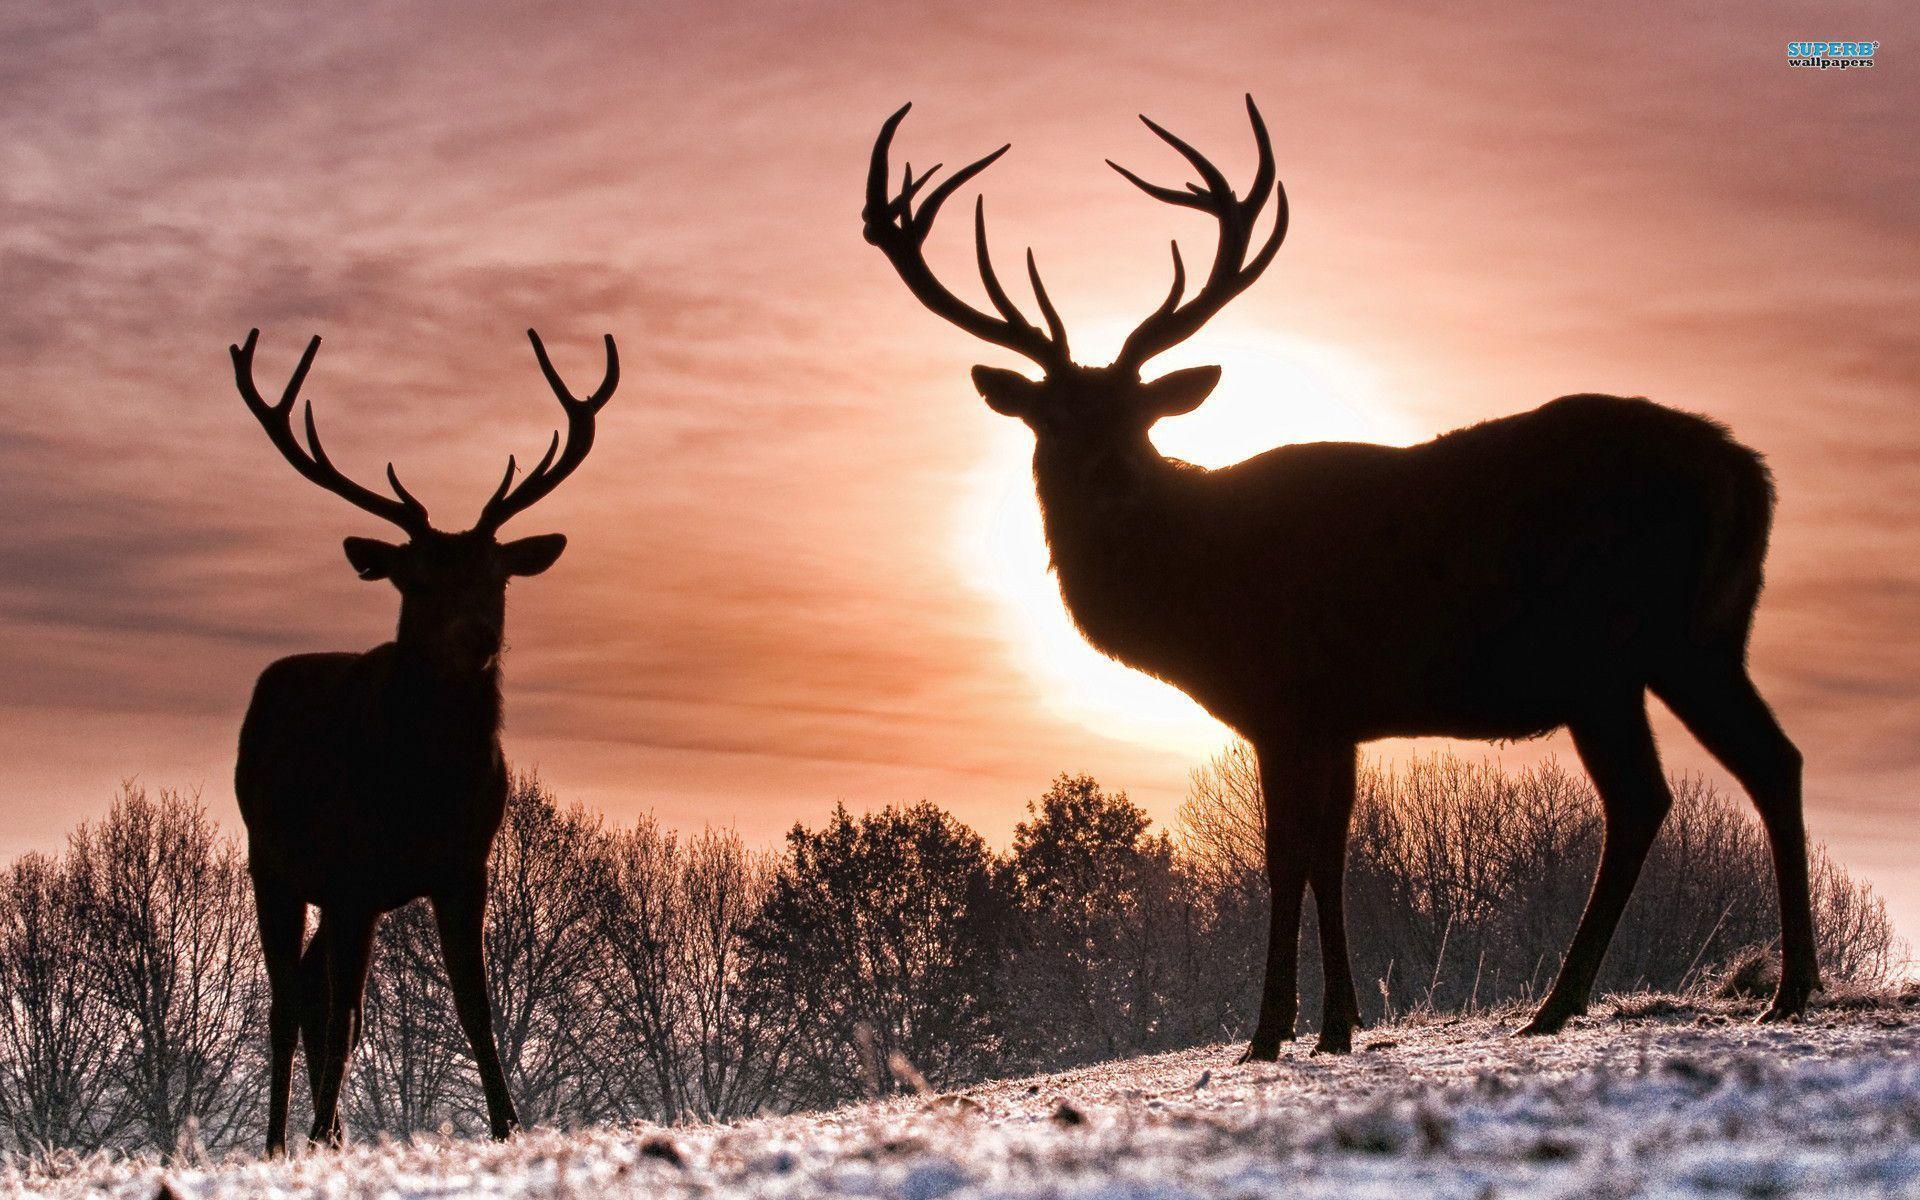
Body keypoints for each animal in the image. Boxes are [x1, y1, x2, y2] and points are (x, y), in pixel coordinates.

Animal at [230, 327, 617, 1151]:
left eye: (498, 576)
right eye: (418, 582)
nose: (475, 638)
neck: (423, 786)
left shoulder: (463, 864)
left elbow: (476, 1005)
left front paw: (509, 1126)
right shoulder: (349, 873)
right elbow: (347, 1018)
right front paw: (315, 1134)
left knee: (308, 989)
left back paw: (329, 1130)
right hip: (271, 861)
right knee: (290, 1000)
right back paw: (284, 1139)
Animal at [863, 98, 1814, 1058]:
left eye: (1139, 415)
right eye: (1052, 417)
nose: (1110, 477)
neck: (1194, 592)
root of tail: (1750, 473)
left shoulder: (1284, 697)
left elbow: (1286, 855)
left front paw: (1270, 1030)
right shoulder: (1340, 715)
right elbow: (1333, 854)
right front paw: (1340, 1024)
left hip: (1607, 651)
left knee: (1646, 795)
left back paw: (1566, 1003)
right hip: (1701, 637)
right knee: (1769, 760)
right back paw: (1787, 988)